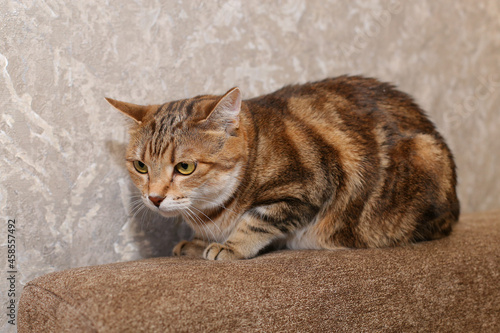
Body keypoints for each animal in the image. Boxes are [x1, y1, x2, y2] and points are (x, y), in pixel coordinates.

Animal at [107, 75, 458, 260]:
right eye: (140, 165)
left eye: (184, 167)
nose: (154, 198)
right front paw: (199, 242)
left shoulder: (308, 187)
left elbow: (257, 222)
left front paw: (229, 246)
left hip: (422, 161)